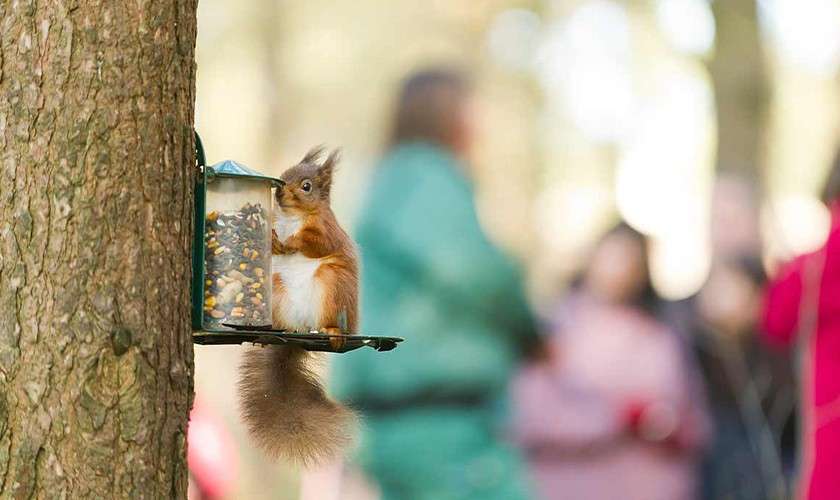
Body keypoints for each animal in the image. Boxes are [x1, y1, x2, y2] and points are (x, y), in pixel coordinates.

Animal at [238, 147, 359, 465]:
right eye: (283, 175)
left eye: (306, 186)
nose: (280, 191)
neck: (292, 218)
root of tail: (303, 332)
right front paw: (272, 240)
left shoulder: (327, 230)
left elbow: (316, 243)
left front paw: (291, 242)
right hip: (278, 288)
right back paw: (270, 332)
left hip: (332, 286)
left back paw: (333, 332)